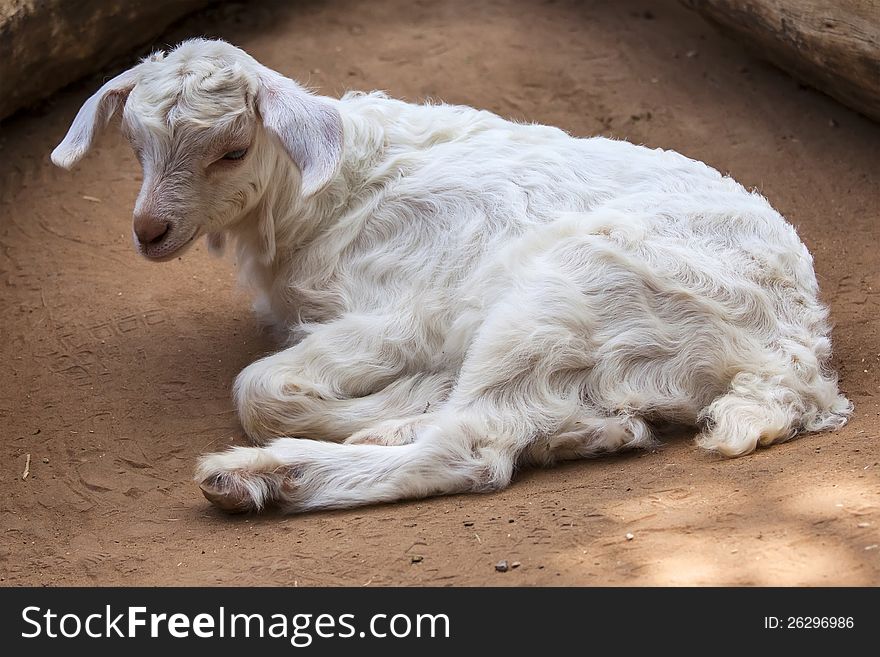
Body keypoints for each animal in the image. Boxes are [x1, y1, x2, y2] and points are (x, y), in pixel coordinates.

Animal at [51, 39, 848, 512]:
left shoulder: (400, 312)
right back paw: (592, 432)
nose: (149, 231)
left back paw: (262, 475)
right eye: (136, 144)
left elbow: (261, 389)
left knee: (472, 447)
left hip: (569, 290)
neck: (331, 192)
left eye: (234, 149)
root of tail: (795, 354)